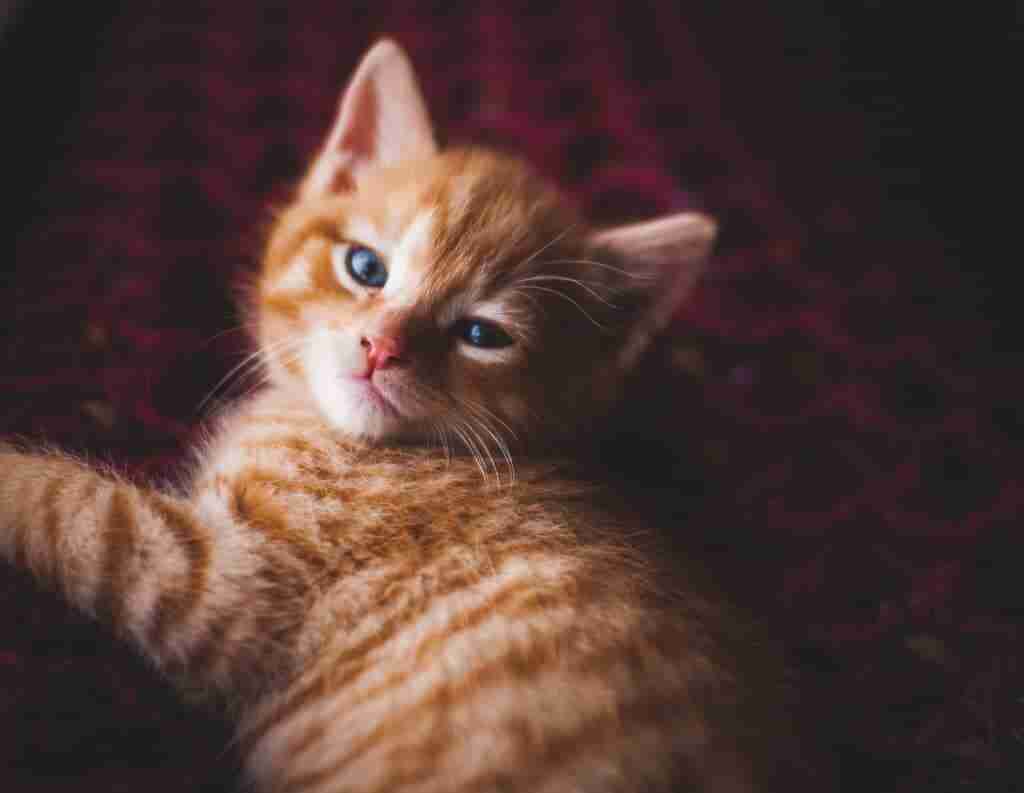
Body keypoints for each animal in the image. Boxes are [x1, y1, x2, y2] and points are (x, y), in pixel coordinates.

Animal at [2, 42, 815, 793]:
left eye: (482, 333)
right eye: (366, 268)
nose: (383, 346)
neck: (361, 441)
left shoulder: (221, 582)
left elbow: (78, 509)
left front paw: (14, 476)